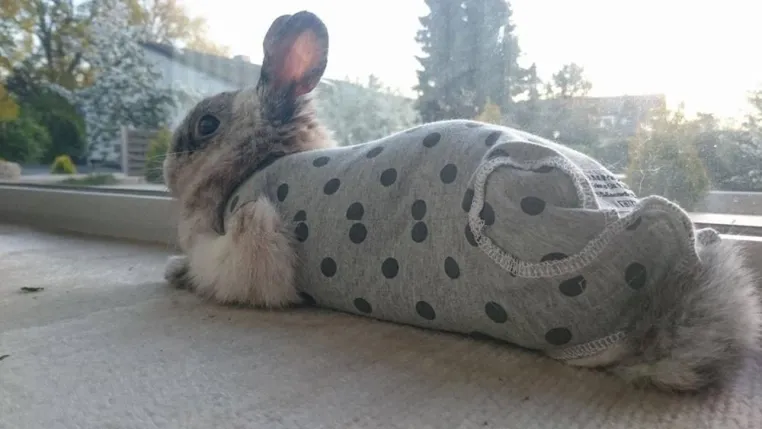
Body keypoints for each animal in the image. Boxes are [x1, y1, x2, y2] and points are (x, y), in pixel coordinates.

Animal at [162, 10, 761, 393]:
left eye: (206, 125)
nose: (165, 167)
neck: (251, 167)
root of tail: (679, 285)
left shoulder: (243, 247)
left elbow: (216, 270)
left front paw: (177, 272)